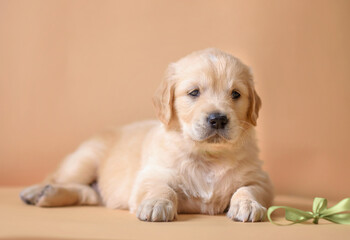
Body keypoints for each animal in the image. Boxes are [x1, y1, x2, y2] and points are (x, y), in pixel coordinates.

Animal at [19, 47, 274, 222]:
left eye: (236, 94)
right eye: (194, 92)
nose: (218, 119)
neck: (209, 156)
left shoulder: (260, 179)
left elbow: (247, 188)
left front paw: (248, 205)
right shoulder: (152, 173)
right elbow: (162, 188)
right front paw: (155, 205)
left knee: (87, 194)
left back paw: (48, 196)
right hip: (84, 160)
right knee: (58, 178)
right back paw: (36, 191)